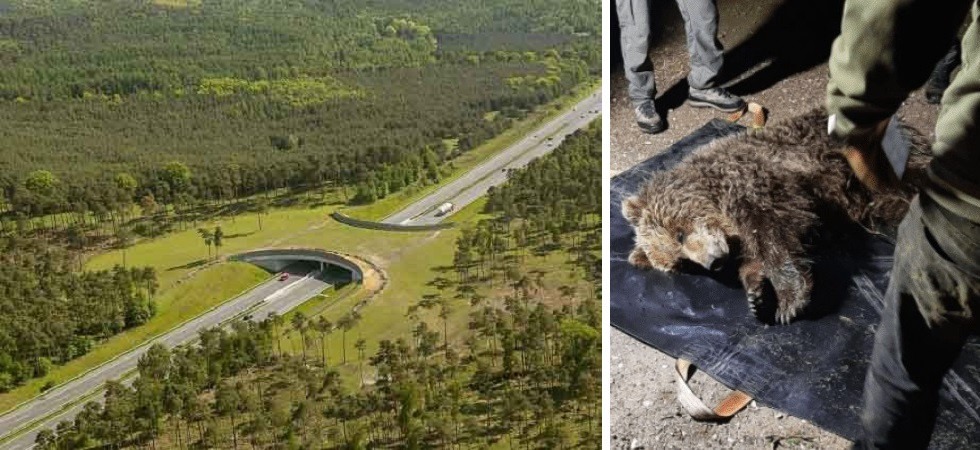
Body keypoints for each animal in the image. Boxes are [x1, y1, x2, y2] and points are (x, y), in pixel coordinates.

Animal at [621, 108, 930, 324]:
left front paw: (789, 300)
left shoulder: (755, 181)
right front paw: (757, 296)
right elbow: (753, 255)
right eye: (684, 264)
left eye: (680, 234)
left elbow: (773, 231)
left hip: (872, 157)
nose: (713, 262)